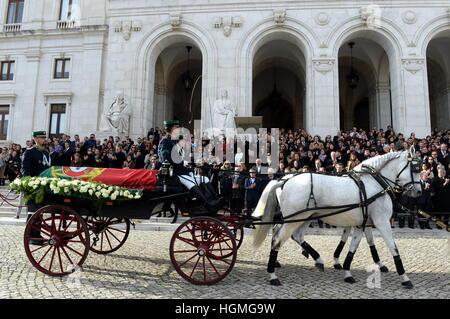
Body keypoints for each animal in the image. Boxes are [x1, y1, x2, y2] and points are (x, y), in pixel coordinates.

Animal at [253, 151, 422, 288]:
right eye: (416, 169)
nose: (419, 191)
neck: (373, 183)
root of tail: (283, 181)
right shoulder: (382, 222)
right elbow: (393, 248)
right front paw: (405, 277)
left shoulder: (361, 223)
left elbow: (356, 245)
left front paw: (347, 270)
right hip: (294, 219)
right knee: (277, 239)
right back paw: (273, 275)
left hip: (304, 217)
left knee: (294, 235)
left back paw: (315, 259)